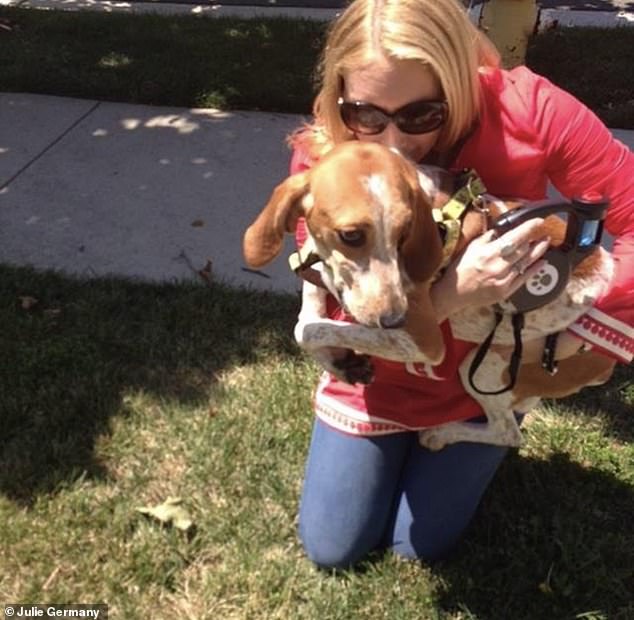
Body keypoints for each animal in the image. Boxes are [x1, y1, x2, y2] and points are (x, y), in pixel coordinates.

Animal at [241, 143, 612, 448]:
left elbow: (308, 329)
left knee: (508, 433)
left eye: (404, 233)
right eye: (351, 235)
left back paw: (441, 433)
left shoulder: (423, 339)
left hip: (484, 366)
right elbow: (310, 308)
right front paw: (341, 362)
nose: (395, 319)